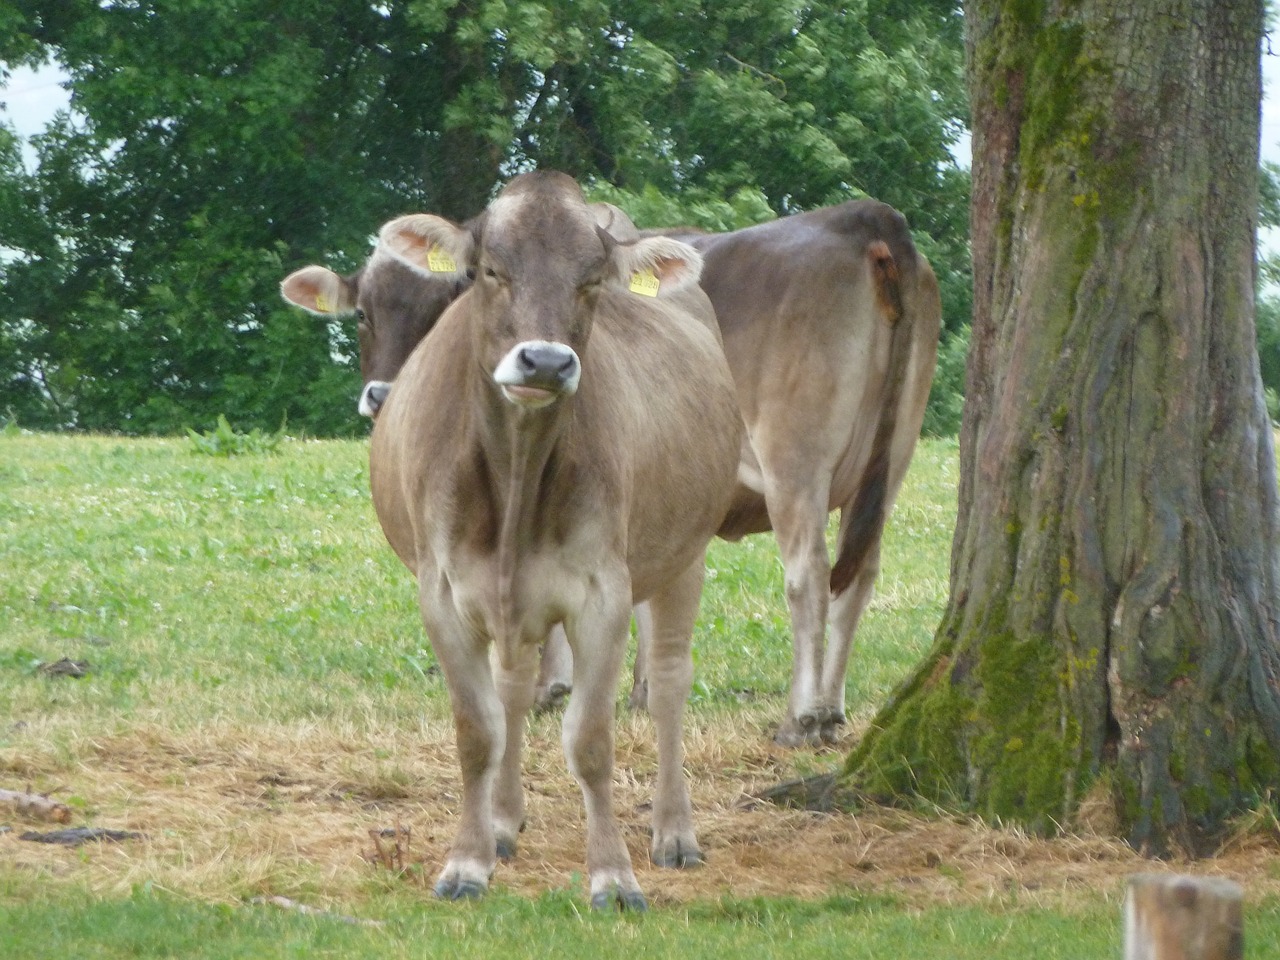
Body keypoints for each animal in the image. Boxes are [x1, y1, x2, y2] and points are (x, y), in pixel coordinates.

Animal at [282, 197, 942, 752]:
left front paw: (550, 687)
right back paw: (831, 709)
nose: (385, 397)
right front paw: (639, 691)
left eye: (447, 300)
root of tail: (863, 216)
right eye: (363, 315)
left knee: (808, 575)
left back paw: (801, 716)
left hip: (795, 459)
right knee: (859, 576)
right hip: (891, 461)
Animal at [360, 172, 742, 911]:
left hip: (685, 555)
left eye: (591, 281)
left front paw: (613, 877)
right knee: (512, 691)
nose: (545, 360)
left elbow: (591, 741)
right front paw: (468, 862)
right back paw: (504, 820)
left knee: (670, 680)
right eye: (487, 272)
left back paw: (674, 831)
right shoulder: (444, 593)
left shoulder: (603, 594)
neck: (516, 478)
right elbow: (478, 731)